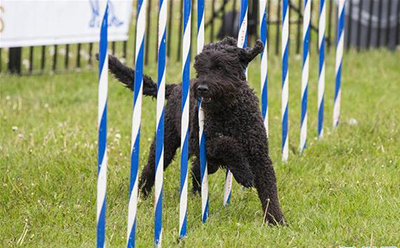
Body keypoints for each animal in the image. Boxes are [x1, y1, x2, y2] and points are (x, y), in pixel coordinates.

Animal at [103, 37, 284, 225]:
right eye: (200, 68)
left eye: (221, 67)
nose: (201, 88)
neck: (230, 112)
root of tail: (176, 87)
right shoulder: (203, 141)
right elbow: (226, 143)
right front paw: (244, 173)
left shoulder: (260, 155)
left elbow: (269, 191)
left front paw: (276, 220)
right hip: (167, 144)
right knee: (151, 168)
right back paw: (141, 194)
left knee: (197, 168)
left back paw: (196, 193)